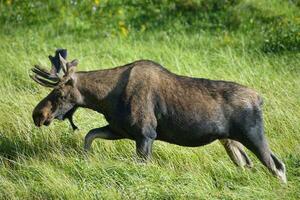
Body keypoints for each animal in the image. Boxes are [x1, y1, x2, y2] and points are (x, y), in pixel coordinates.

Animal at [29, 48, 286, 183]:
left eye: (59, 92)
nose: (37, 115)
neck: (105, 100)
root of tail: (260, 99)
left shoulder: (145, 134)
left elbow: (141, 166)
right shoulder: (120, 130)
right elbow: (89, 136)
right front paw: (85, 161)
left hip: (252, 135)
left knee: (277, 166)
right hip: (231, 140)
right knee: (249, 164)